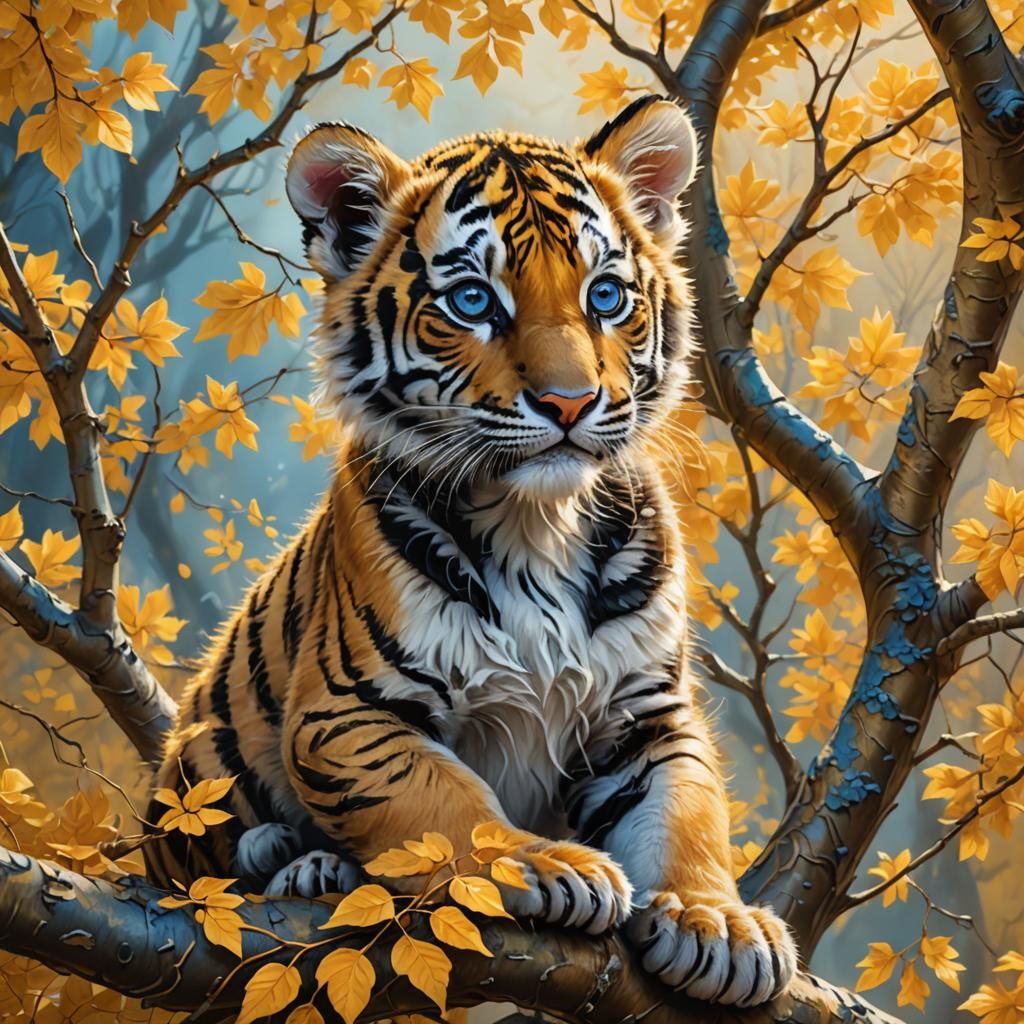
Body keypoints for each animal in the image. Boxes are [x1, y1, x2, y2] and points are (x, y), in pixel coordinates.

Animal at [145, 95, 798, 1007]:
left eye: (605, 296)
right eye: (471, 301)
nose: (571, 401)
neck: (538, 522)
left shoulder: (646, 712)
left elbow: (687, 811)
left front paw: (718, 924)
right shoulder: (346, 713)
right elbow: (442, 797)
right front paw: (542, 865)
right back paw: (301, 864)